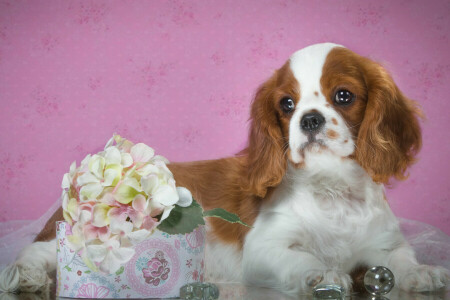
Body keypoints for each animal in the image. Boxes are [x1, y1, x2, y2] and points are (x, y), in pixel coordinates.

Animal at [2, 42, 446, 296]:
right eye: (287, 104)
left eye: (343, 96)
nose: (309, 120)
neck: (331, 186)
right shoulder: (264, 250)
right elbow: (303, 260)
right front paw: (322, 274)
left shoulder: (384, 246)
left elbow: (401, 259)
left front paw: (422, 273)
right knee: (35, 250)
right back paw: (28, 275)